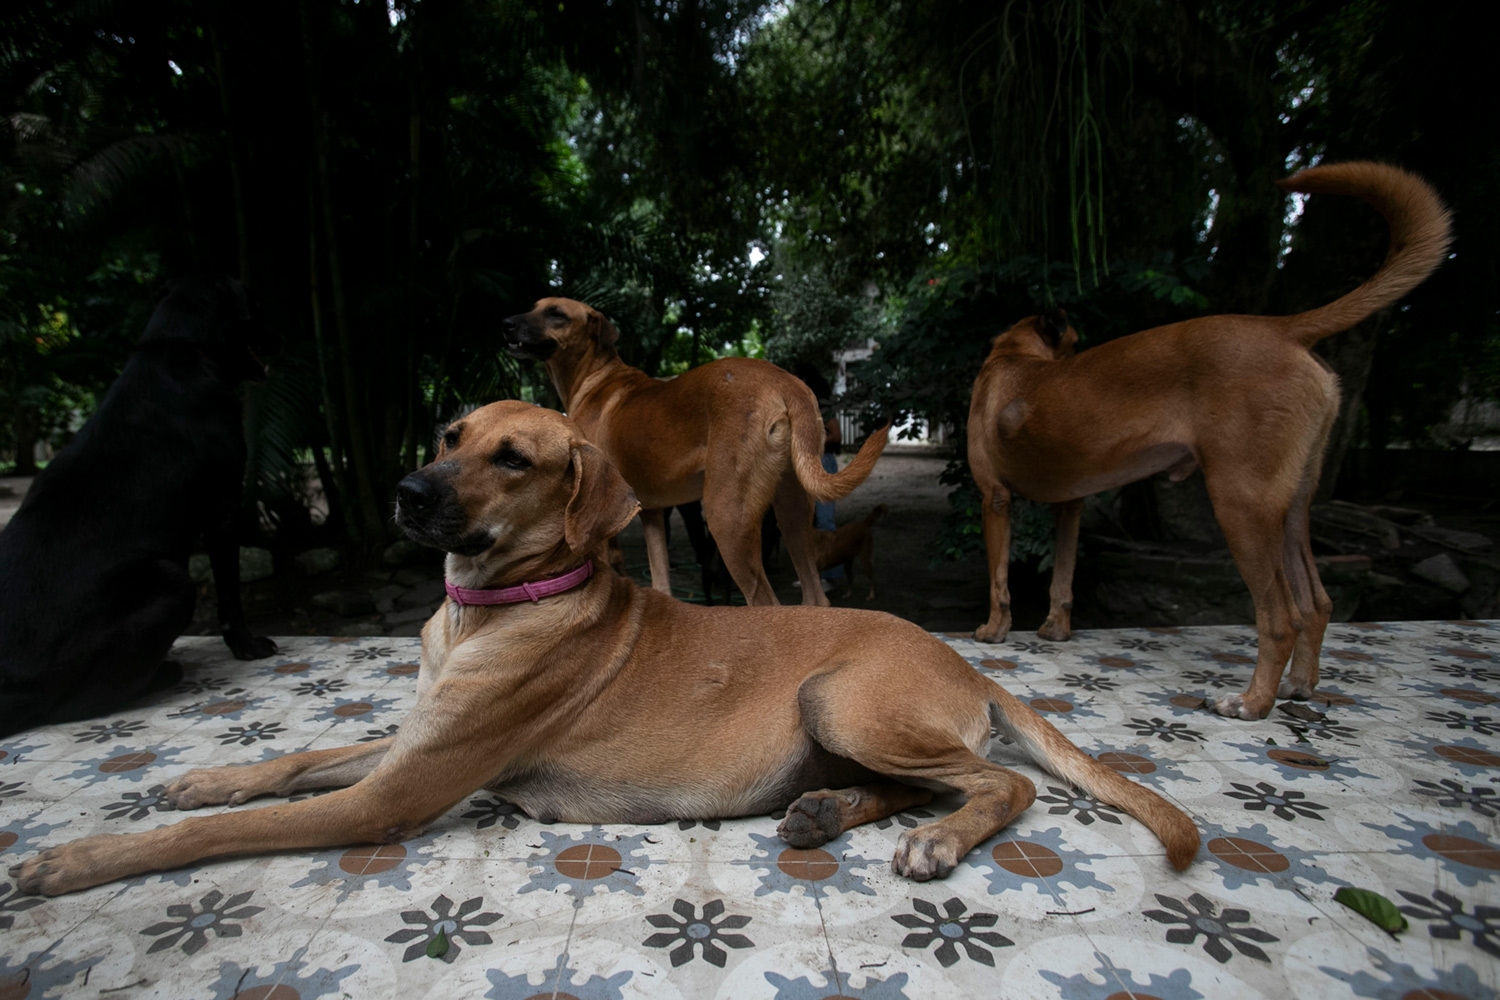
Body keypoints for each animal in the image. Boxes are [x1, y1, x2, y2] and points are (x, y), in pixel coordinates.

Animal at [0, 277, 280, 740]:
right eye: (253, 302)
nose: (284, 321)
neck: (175, 347)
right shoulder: (223, 506)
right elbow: (229, 594)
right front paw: (247, 645)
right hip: (172, 581)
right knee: (69, 706)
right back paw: (164, 674)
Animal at [2, 401, 1194, 893]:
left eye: (516, 459)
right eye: (449, 435)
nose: (407, 491)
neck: (488, 606)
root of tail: (968, 661)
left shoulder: (395, 792)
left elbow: (223, 833)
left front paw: (75, 861)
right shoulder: (407, 743)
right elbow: (286, 762)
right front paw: (198, 777)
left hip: (841, 698)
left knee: (1001, 785)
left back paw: (937, 840)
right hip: (838, 723)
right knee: (929, 782)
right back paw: (828, 812)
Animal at [501, 295, 888, 611]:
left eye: (557, 314)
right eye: (534, 306)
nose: (506, 323)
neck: (595, 375)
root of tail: (784, 380)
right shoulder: (651, 514)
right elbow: (661, 580)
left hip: (725, 516)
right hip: (791, 511)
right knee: (814, 598)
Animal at [966, 162, 1446, 719]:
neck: (1014, 358)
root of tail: (1282, 329)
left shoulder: (995, 498)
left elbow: (999, 578)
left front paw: (995, 630)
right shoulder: (1073, 506)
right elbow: (1062, 577)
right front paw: (1055, 631)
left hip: (1241, 505)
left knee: (1280, 617)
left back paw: (1252, 702)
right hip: (1289, 509)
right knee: (1317, 602)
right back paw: (1298, 686)